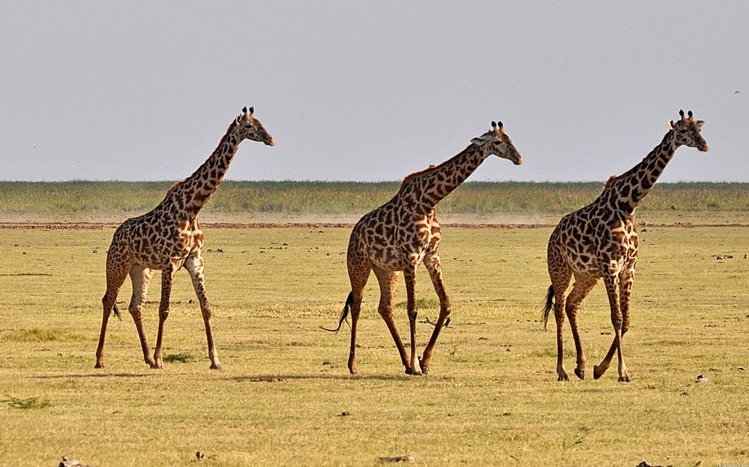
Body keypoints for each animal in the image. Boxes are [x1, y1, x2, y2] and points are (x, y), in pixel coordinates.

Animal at [95, 106, 275, 370]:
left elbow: (206, 307)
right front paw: (161, 358)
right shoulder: (170, 261)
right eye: (250, 126)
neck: (193, 208)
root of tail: (116, 235)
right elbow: (164, 309)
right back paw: (101, 359)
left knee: (135, 306)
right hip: (117, 265)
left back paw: (147, 358)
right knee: (108, 300)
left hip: (141, 269)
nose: (271, 139)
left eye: (262, 123)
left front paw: (215, 359)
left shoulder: (194, 260)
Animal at [326, 120, 523, 375]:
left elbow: (446, 304)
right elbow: (412, 309)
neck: (428, 202)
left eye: (510, 138)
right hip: (358, 264)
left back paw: (403, 361)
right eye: (497, 141)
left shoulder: (432, 256)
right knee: (357, 306)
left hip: (386, 270)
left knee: (385, 307)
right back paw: (354, 365)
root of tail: (354, 231)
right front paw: (416, 364)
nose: (518, 158)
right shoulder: (411, 257)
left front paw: (424, 360)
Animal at [542, 110, 708, 382]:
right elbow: (617, 318)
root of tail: (553, 235)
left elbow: (627, 320)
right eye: (683, 131)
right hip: (560, 269)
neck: (628, 205)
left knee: (571, 305)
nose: (704, 145)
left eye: (699, 129)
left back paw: (580, 366)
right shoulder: (610, 265)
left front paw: (600, 368)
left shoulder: (629, 267)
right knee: (558, 308)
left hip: (586, 275)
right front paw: (622, 372)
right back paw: (562, 370)